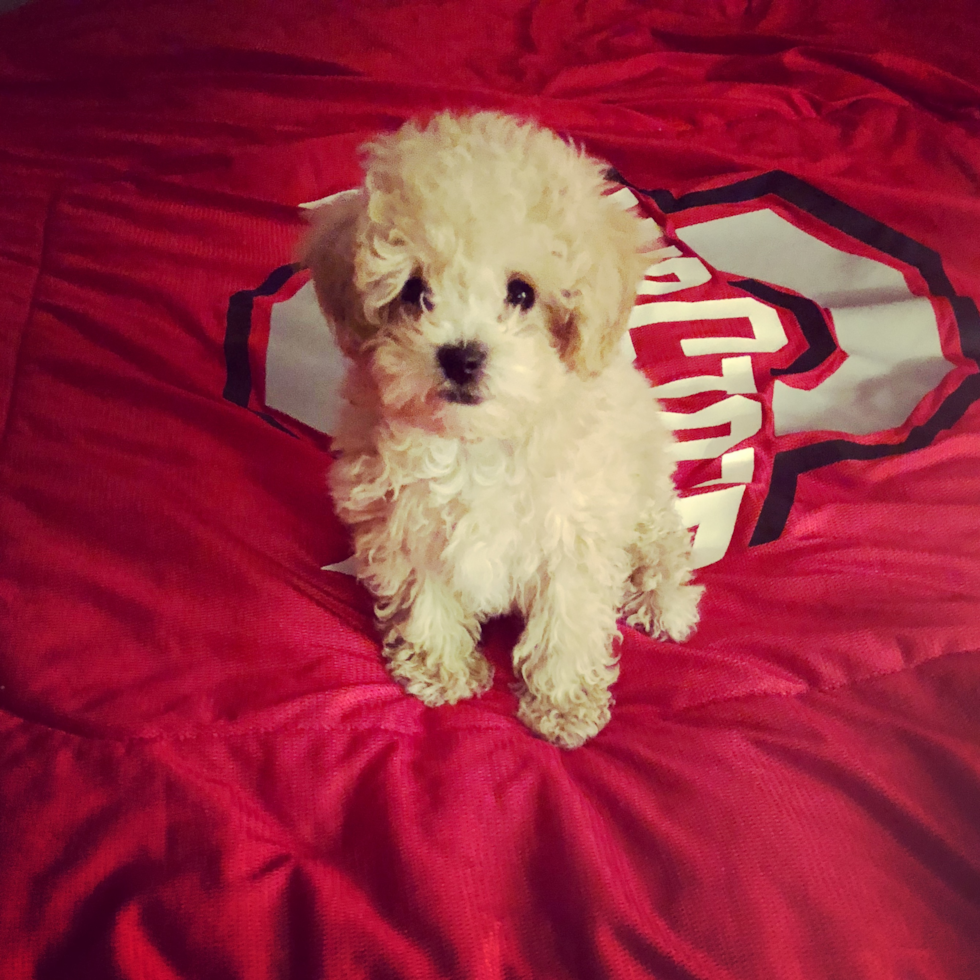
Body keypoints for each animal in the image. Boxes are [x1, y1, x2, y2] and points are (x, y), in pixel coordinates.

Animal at [302, 111, 700, 748]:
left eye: (521, 293)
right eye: (414, 291)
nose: (461, 357)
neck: (478, 442)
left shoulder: (575, 530)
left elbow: (568, 622)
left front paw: (563, 705)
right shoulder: (405, 520)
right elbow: (426, 596)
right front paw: (440, 670)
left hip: (639, 484)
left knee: (660, 538)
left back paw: (664, 601)